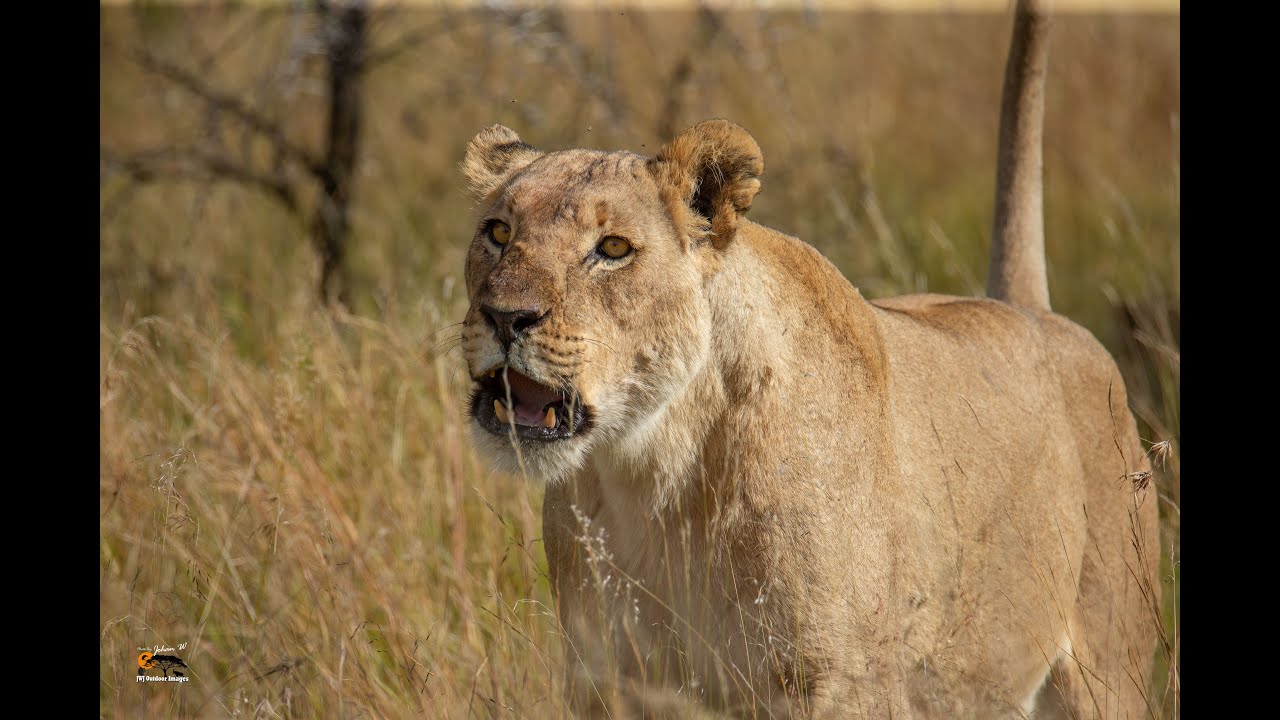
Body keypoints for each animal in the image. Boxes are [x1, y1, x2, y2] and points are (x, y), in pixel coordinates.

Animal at [456, 1, 1162, 717]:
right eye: (499, 233)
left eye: (614, 248)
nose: (505, 316)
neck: (654, 475)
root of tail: (1031, 311)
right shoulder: (609, 682)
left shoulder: (845, 684)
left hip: (1109, 669)